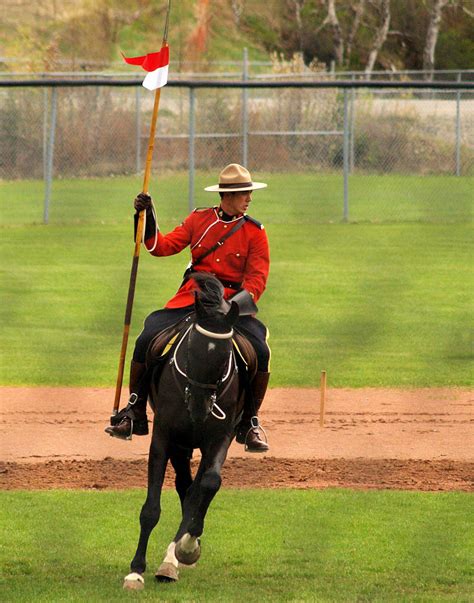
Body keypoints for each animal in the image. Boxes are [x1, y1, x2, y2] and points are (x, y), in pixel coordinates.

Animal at [124, 274, 244, 588]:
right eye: (191, 348)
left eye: (226, 356)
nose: (200, 407)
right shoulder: (164, 436)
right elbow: (151, 508)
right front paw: (136, 570)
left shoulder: (219, 437)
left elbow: (207, 486)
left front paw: (186, 547)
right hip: (181, 444)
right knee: (183, 484)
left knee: (194, 490)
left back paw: (176, 555)